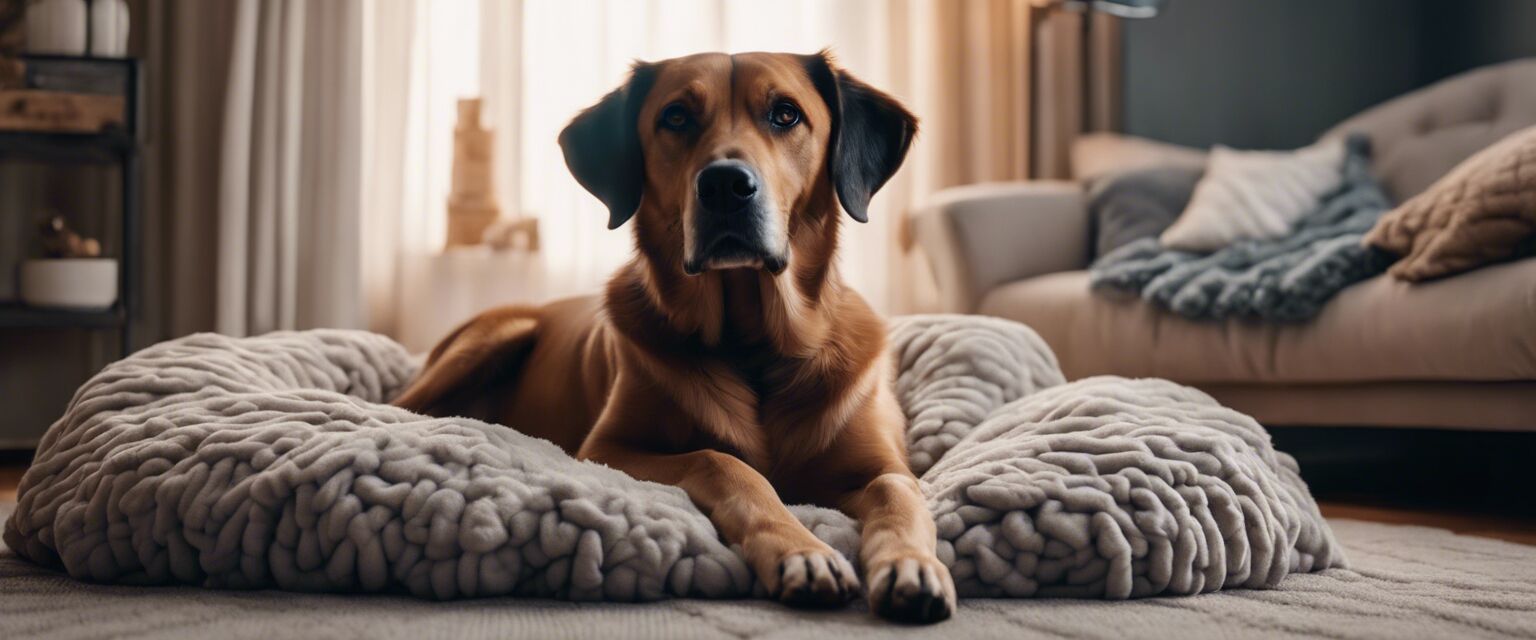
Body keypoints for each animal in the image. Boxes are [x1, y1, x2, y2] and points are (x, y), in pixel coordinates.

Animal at [390, 52, 952, 620]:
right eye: (676, 117)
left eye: (786, 114)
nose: (725, 186)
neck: (752, 343)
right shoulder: (606, 448)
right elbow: (721, 462)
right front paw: (803, 551)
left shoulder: (881, 466)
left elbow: (900, 496)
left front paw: (911, 565)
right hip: (495, 334)